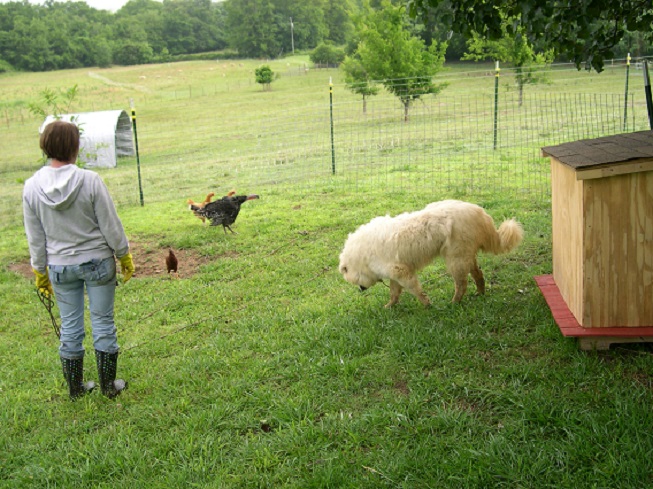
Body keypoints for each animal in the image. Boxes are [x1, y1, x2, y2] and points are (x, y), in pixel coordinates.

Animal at [338, 199, 524, 306]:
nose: (361, 289)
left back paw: (454, 303)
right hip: (465, 256)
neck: (362, 256)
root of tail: (480, 212)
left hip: (455, 259)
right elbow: (394, 293)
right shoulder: (395, 274)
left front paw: (427, 304)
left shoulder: (401, 272)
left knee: (462, 284)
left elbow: (416, 290)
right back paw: (480, 293)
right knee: (478, 274)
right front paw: (390, 306)